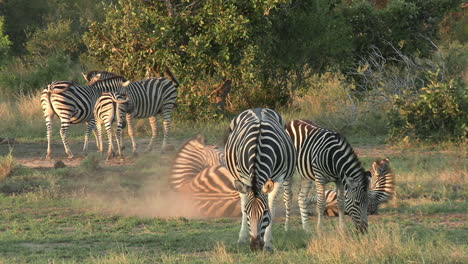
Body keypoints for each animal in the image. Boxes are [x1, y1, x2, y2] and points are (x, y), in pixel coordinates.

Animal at [224, 108, 296, 252]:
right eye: (247, 213)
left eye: (265, 212)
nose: (255, 246)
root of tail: (257, 108)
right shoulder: (245, 177)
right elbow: (245, 204)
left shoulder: (279, 178)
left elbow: (272, 204)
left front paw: (268, 242)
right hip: (237, 178)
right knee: (242, 200)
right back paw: (242, 238)